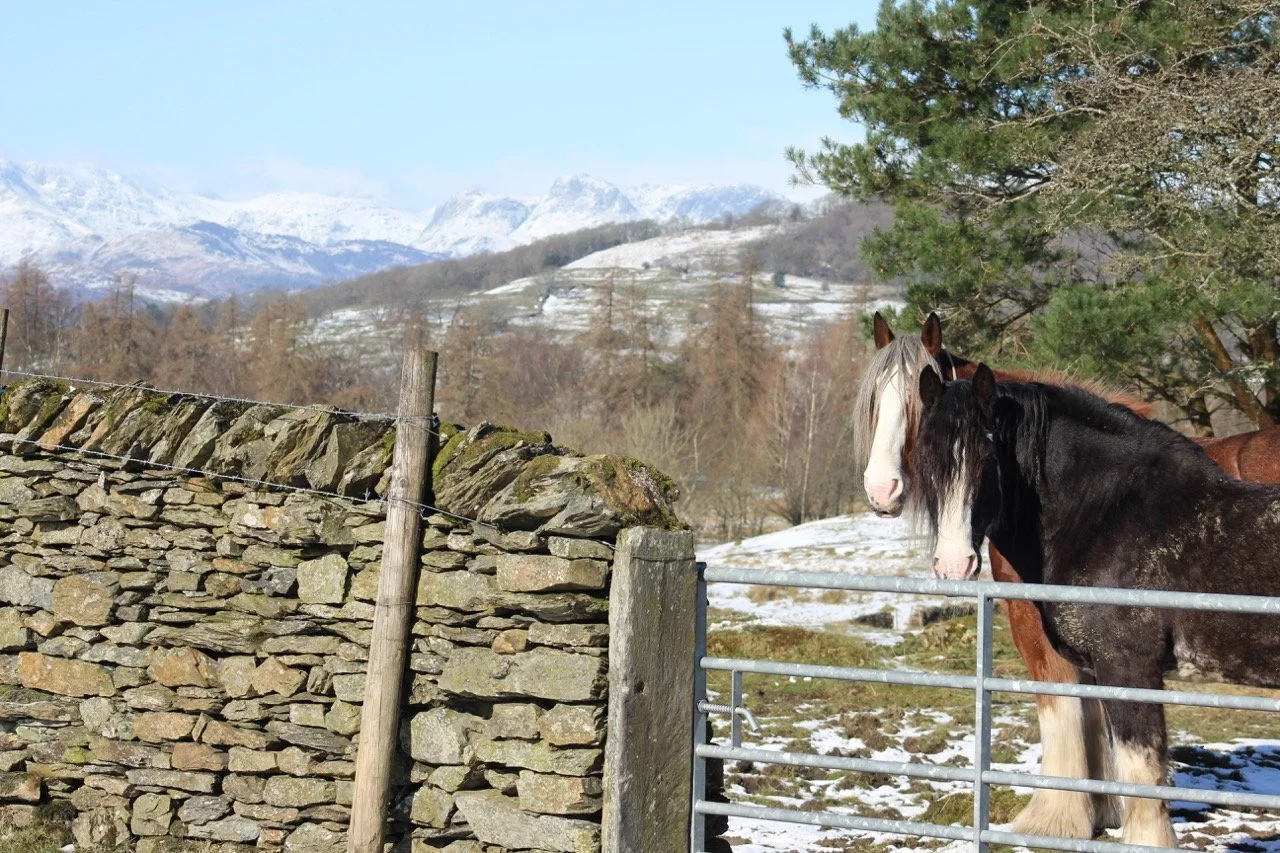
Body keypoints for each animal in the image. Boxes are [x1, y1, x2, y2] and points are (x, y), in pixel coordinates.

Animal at [853, 312, 1280, 840]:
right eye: (875, 402)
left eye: (988, 458)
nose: (882, 491)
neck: (1112, 510)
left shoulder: (1121, 664)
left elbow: (1114, 753)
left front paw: (1054, 818)